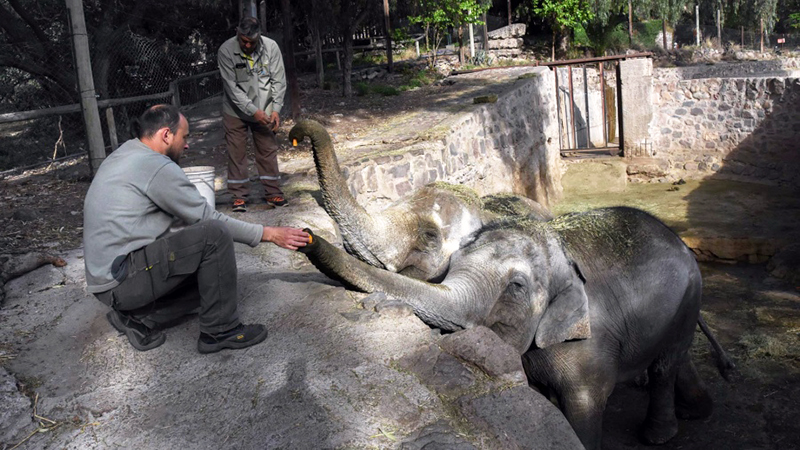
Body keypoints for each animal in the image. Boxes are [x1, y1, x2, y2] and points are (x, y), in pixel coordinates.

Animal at [296, 207, 736, 450]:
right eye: (451, 265)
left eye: (516, 287)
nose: (305, 235)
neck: (557, 246)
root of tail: (681, 242)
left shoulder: (590, 345)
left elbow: (584, 403)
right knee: (672, 360)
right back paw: (697, 411)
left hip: (688, 299)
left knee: (666, 364)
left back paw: (658, 436)